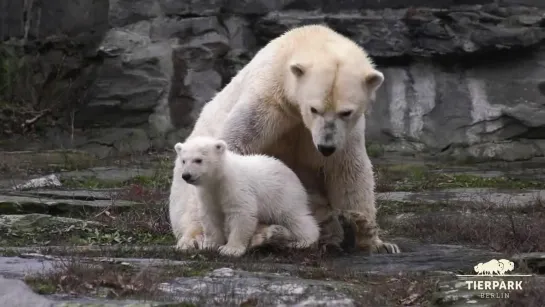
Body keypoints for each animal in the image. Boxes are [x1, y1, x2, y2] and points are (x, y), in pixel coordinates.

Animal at [173, 137, 318, 258]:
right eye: (183, 160)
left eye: (198, 160)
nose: (186, 175)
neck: (221, 177)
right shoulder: (208, 193)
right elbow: (211, 216)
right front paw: (210, 245)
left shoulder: (237, 187)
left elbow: (242, 214)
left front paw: (230, 249)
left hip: (283, 196)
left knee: (294, 217)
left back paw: (302, 241)